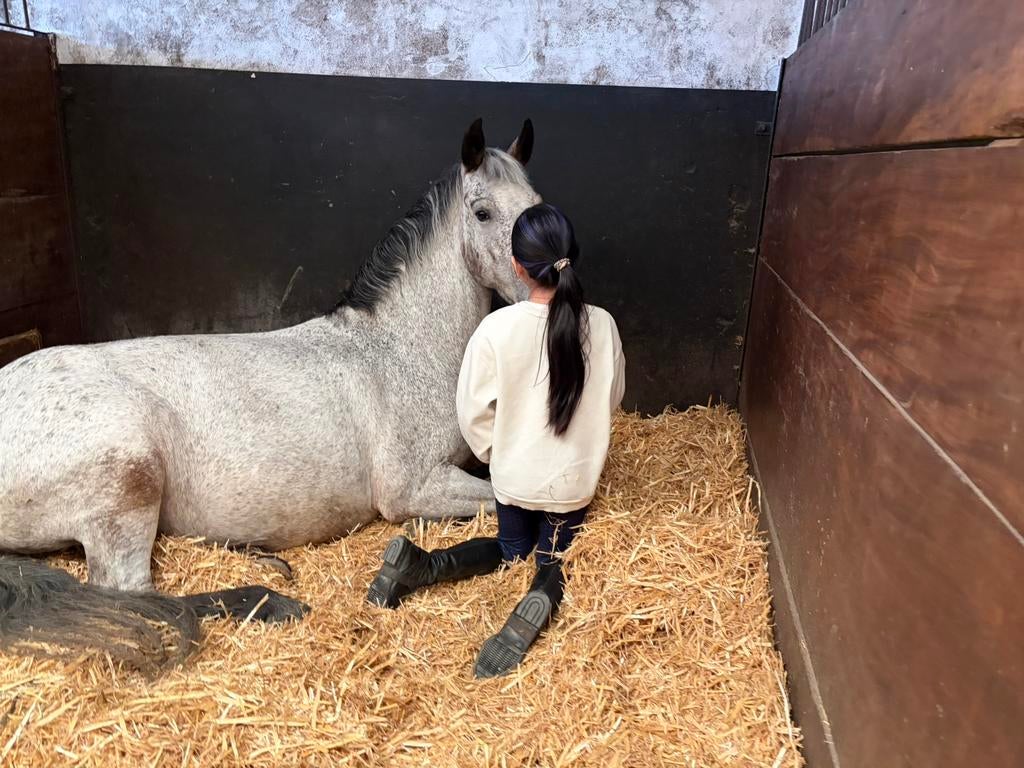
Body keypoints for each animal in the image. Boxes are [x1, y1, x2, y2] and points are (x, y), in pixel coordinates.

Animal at [0, 118, 540, 672]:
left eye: (534, 202)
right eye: (483, 212)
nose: (547, 284)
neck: (394, 350)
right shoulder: (414, 490)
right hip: (127, 488)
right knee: (131, 593)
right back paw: (270, 599)